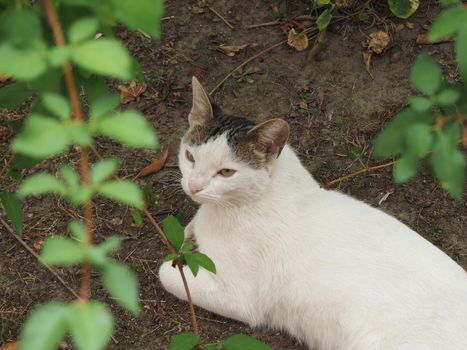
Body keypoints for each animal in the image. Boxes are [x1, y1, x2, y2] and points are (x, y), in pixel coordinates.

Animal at [159, 77, 467, 350]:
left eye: (225, 172)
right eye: (190, 157)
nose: (194, 186)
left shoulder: (239, 297)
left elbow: (165, 272)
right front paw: (190, 232)